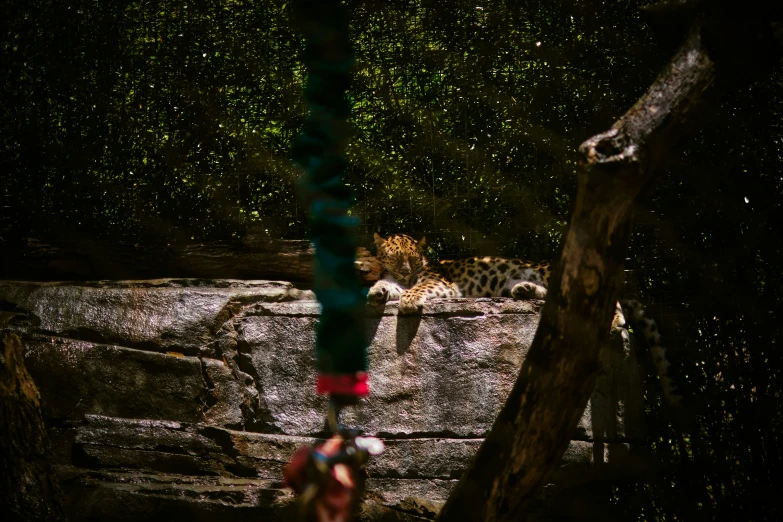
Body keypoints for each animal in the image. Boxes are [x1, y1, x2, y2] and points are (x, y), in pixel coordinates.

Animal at [368, 232, 680, 406]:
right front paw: (377, 290)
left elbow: (417, 289)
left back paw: (615, 323)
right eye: (395, 259)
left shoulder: (440, 283)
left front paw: (408, 300)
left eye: (414, 259)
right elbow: (389, 285)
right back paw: (523, 290)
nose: (406, 271)